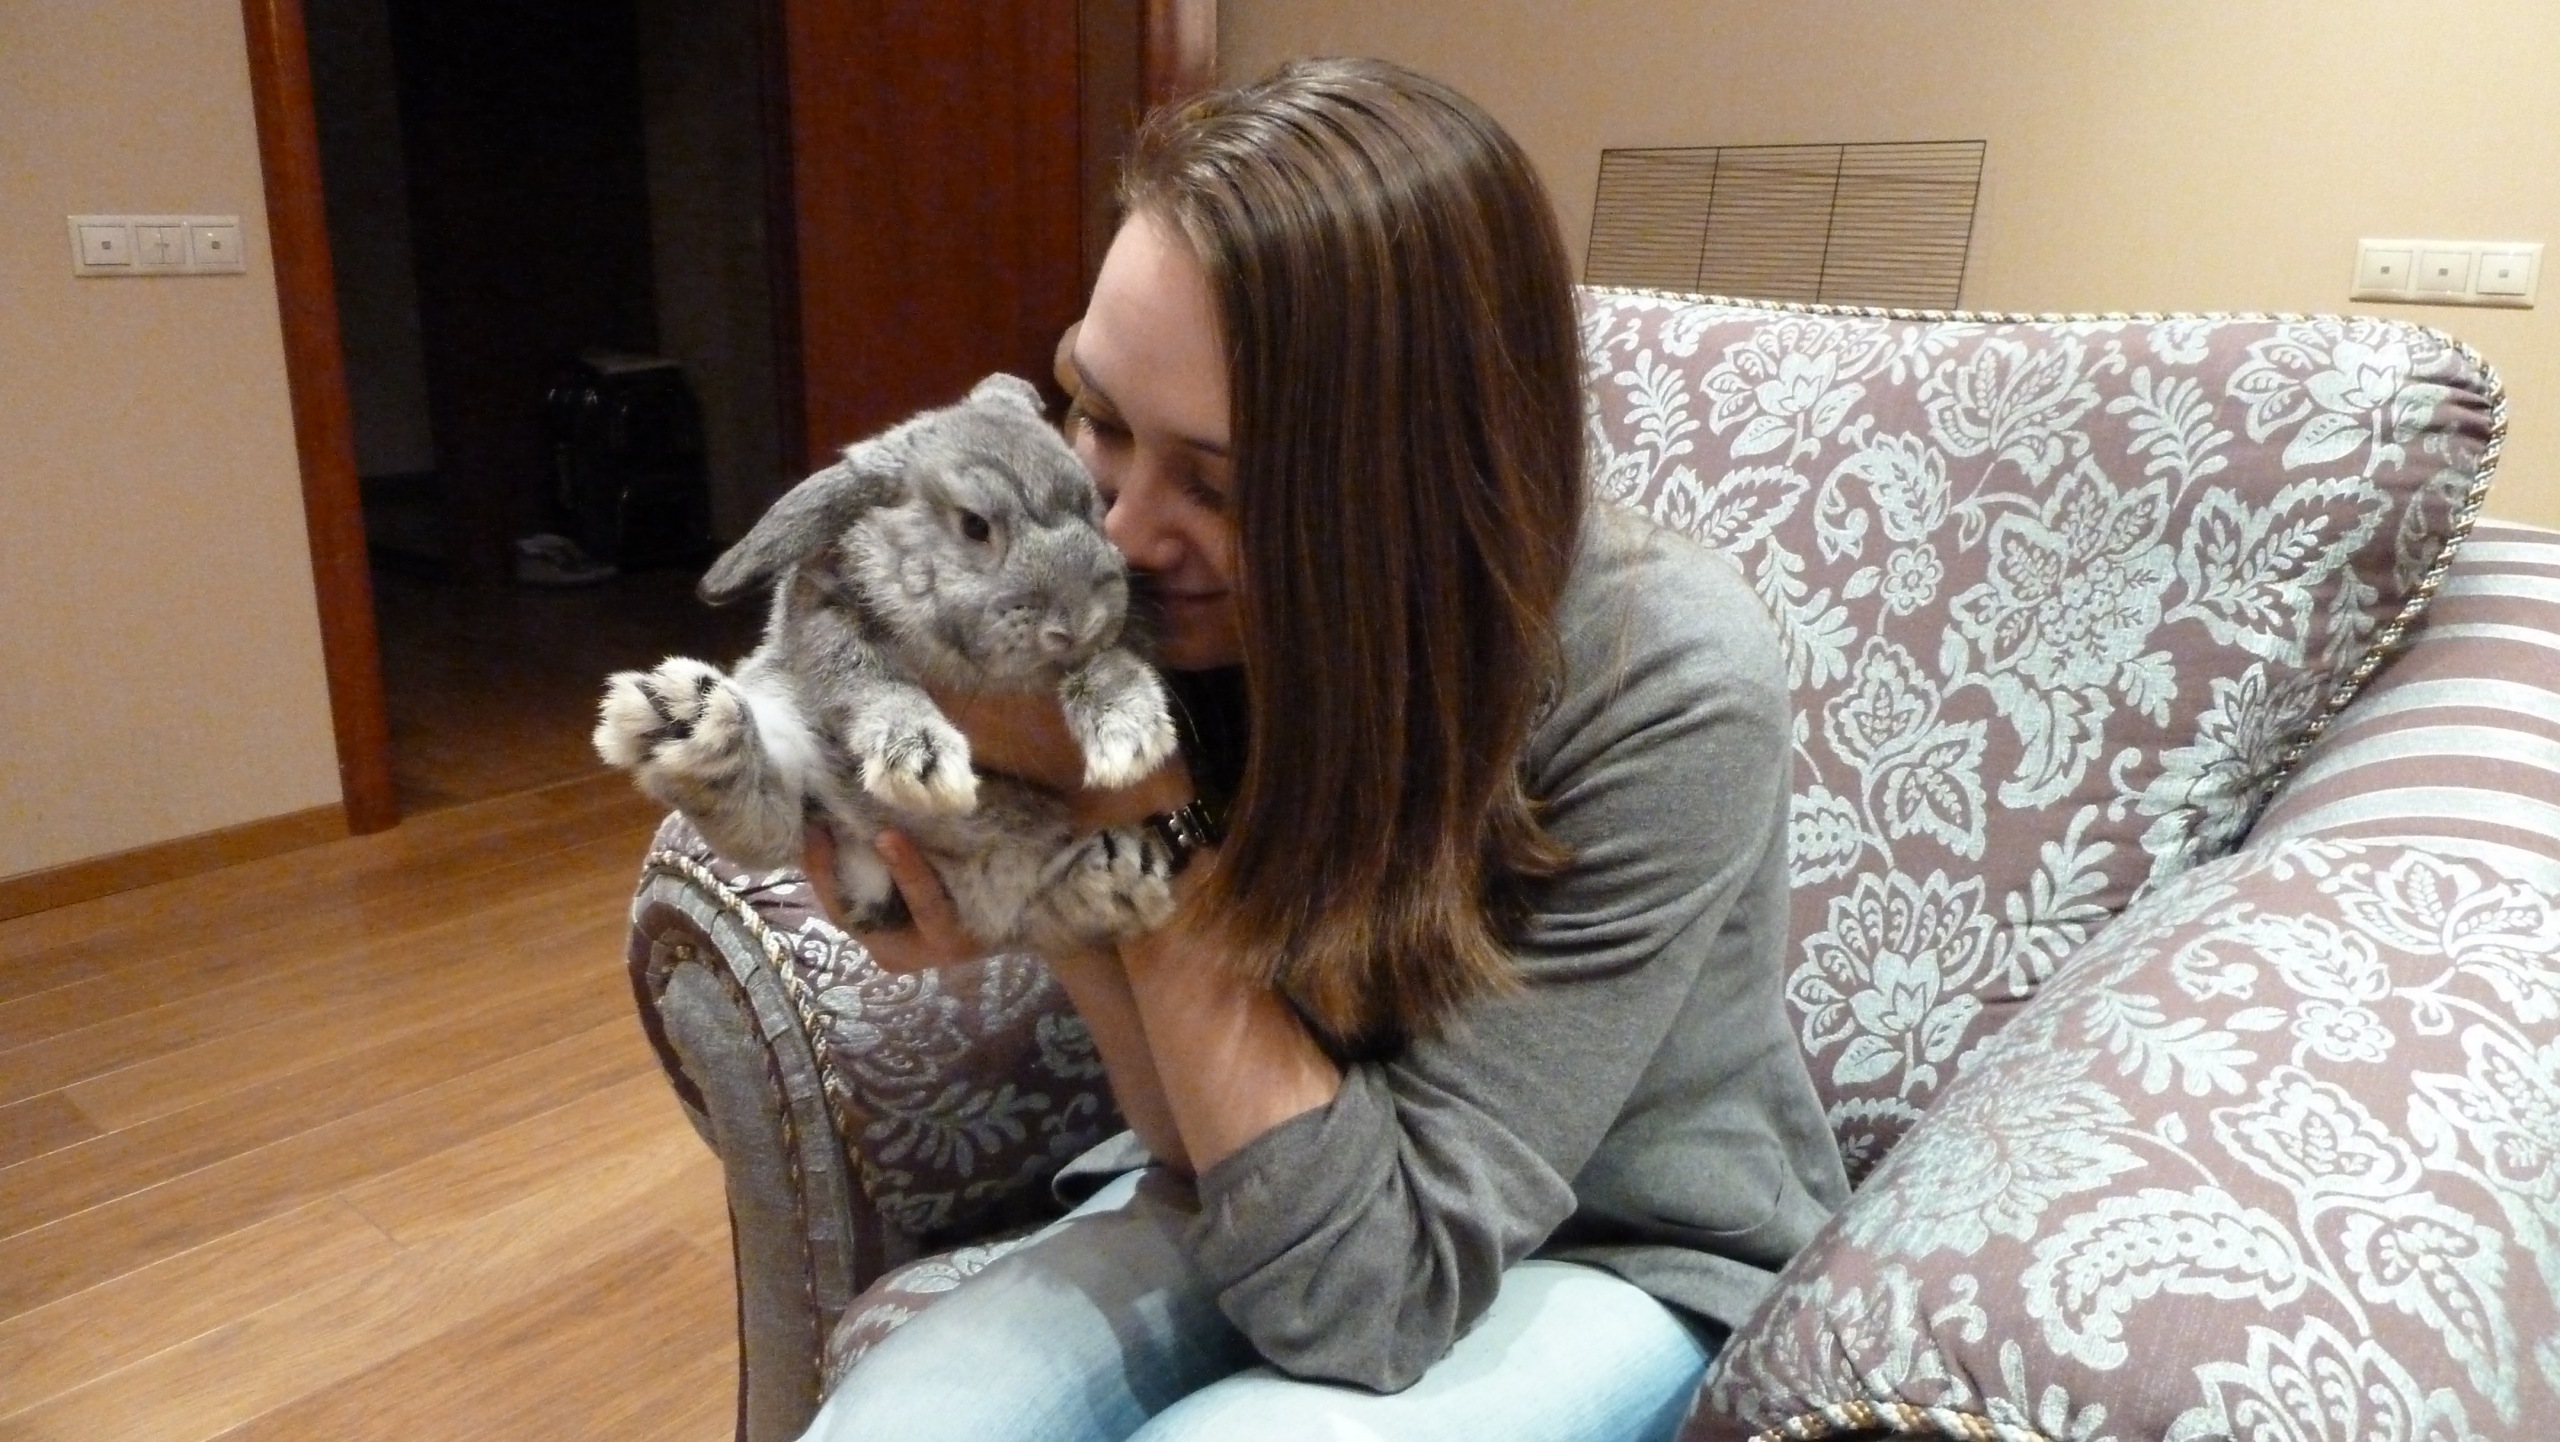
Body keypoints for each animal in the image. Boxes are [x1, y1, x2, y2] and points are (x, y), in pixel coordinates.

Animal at [593, 372, 1181, 955]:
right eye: (975, 525)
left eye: (1093, 505)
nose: (1080, 619)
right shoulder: (825, 614)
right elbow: (866, 680)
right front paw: (921, 762)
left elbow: (1108, 665)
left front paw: (1130, 737)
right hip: (794, 745)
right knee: (770, 828)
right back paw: (684, 722)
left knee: (1039, 911)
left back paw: (1119, 875)